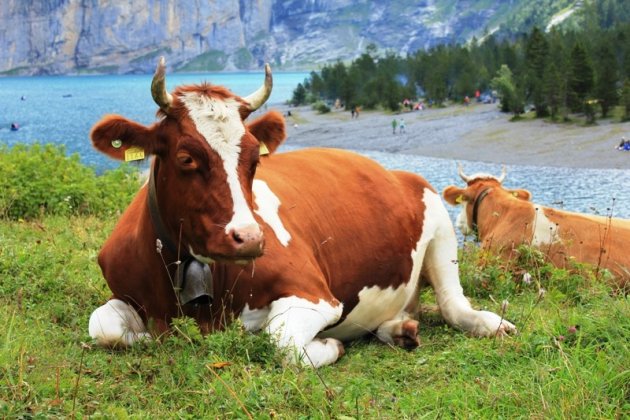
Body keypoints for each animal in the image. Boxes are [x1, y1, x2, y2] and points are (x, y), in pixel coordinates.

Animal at [86, 57, 516, 366]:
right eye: (186, 158)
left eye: (253, 160)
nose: (250, 238)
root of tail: (395, 172)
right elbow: (101, 326)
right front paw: (143, 337)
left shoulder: (317, 295)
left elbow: (282, 342)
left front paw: (331, 346)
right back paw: (399, 330)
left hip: (441, 227)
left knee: (453, 304)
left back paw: (491, 324)